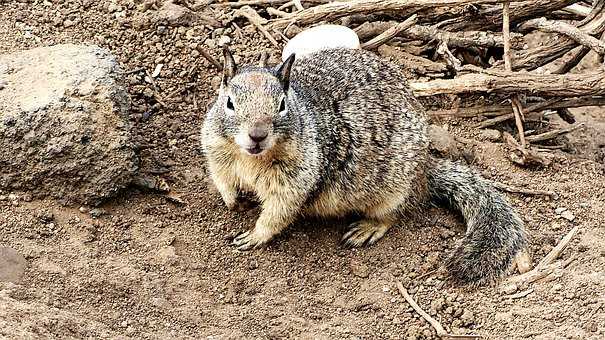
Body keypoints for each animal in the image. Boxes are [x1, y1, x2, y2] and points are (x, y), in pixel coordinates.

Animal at [201, 47, 528, 284]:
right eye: (229, 103)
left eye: (281, 105)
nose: (257, 135)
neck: (251, 159)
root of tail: (426, 171)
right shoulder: (217, 152)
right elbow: (222, 180)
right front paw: (232, 200)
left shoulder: (295, 182)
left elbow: (278, 214)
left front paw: (253, 236)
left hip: (393, 191)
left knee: (394, 215)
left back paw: (367, 229)